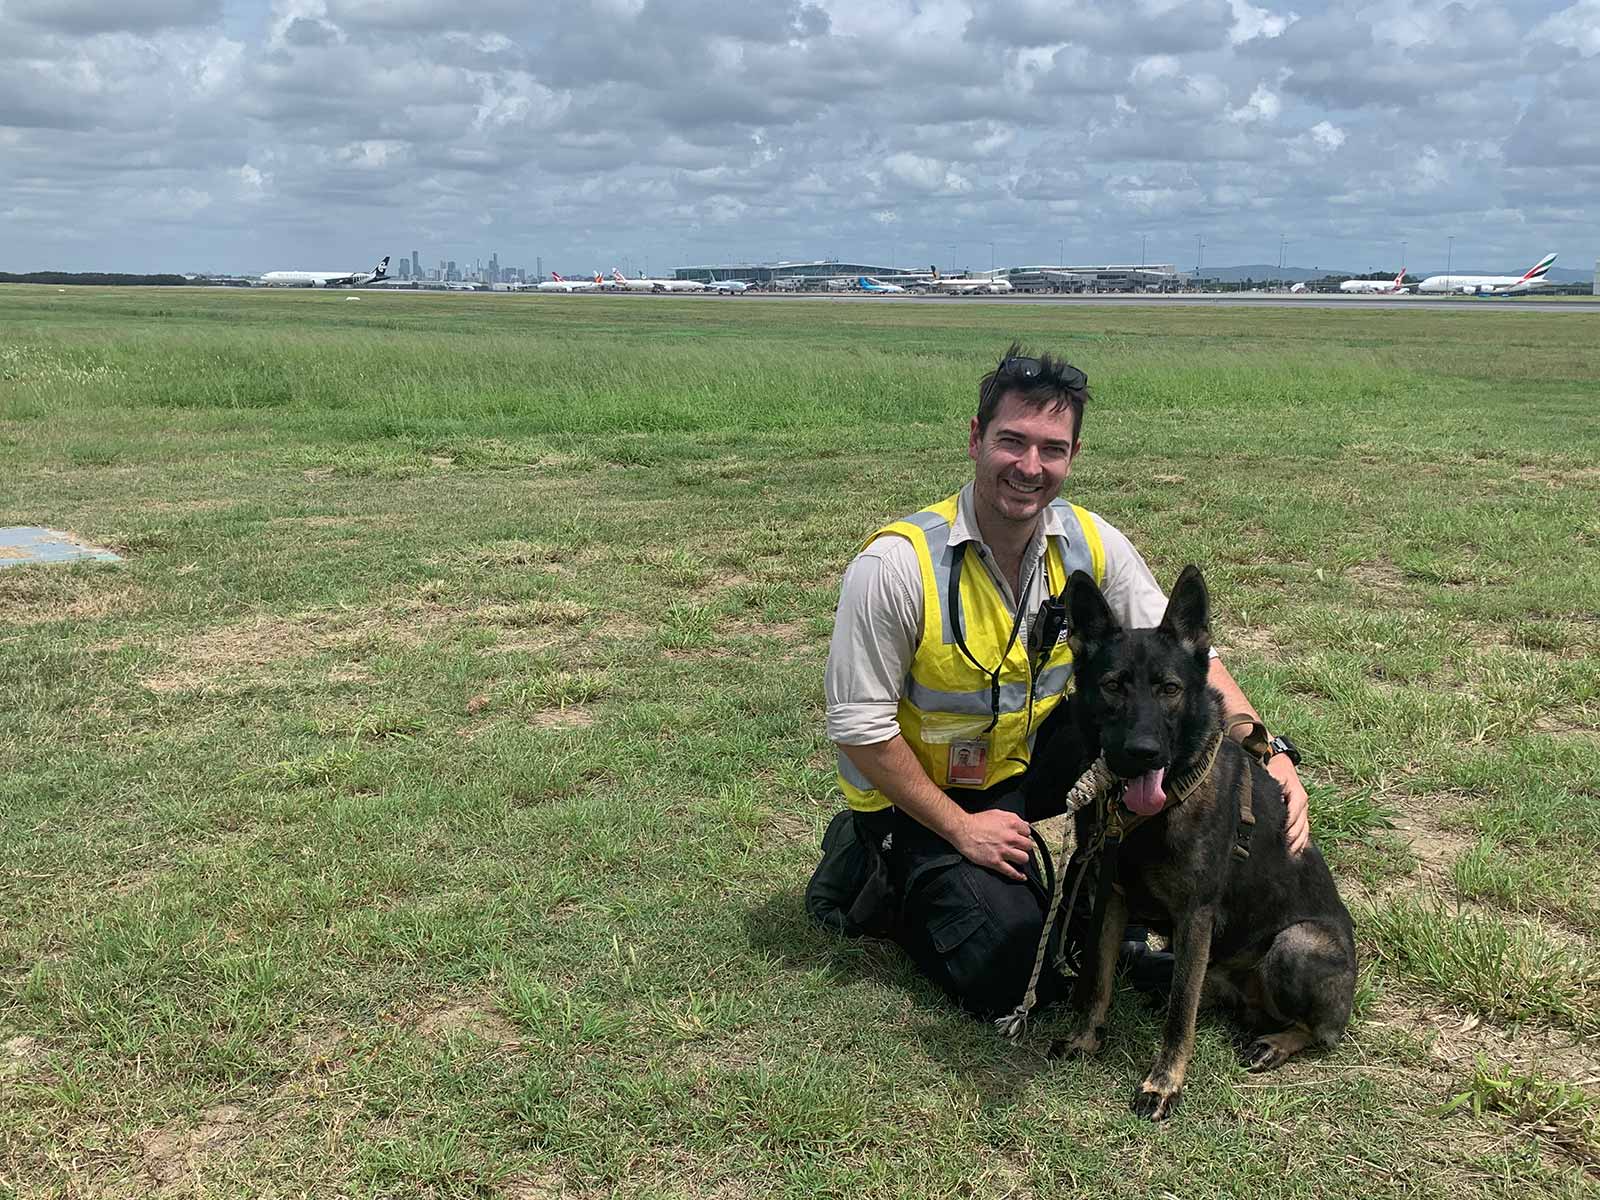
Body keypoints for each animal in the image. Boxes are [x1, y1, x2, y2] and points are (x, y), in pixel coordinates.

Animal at [1056, 569, 1356, 1126]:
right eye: (1113, 686)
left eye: (1170, 689)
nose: (1143, 753)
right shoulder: (1111, 897)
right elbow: (1098, 978)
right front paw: (1086, 1038)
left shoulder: (1195, 914)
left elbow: (1180, 1016)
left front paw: (1164, 1083)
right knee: (1200, 991)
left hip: (1297, 944)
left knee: (1319, 1031)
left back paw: (1276, 1041)